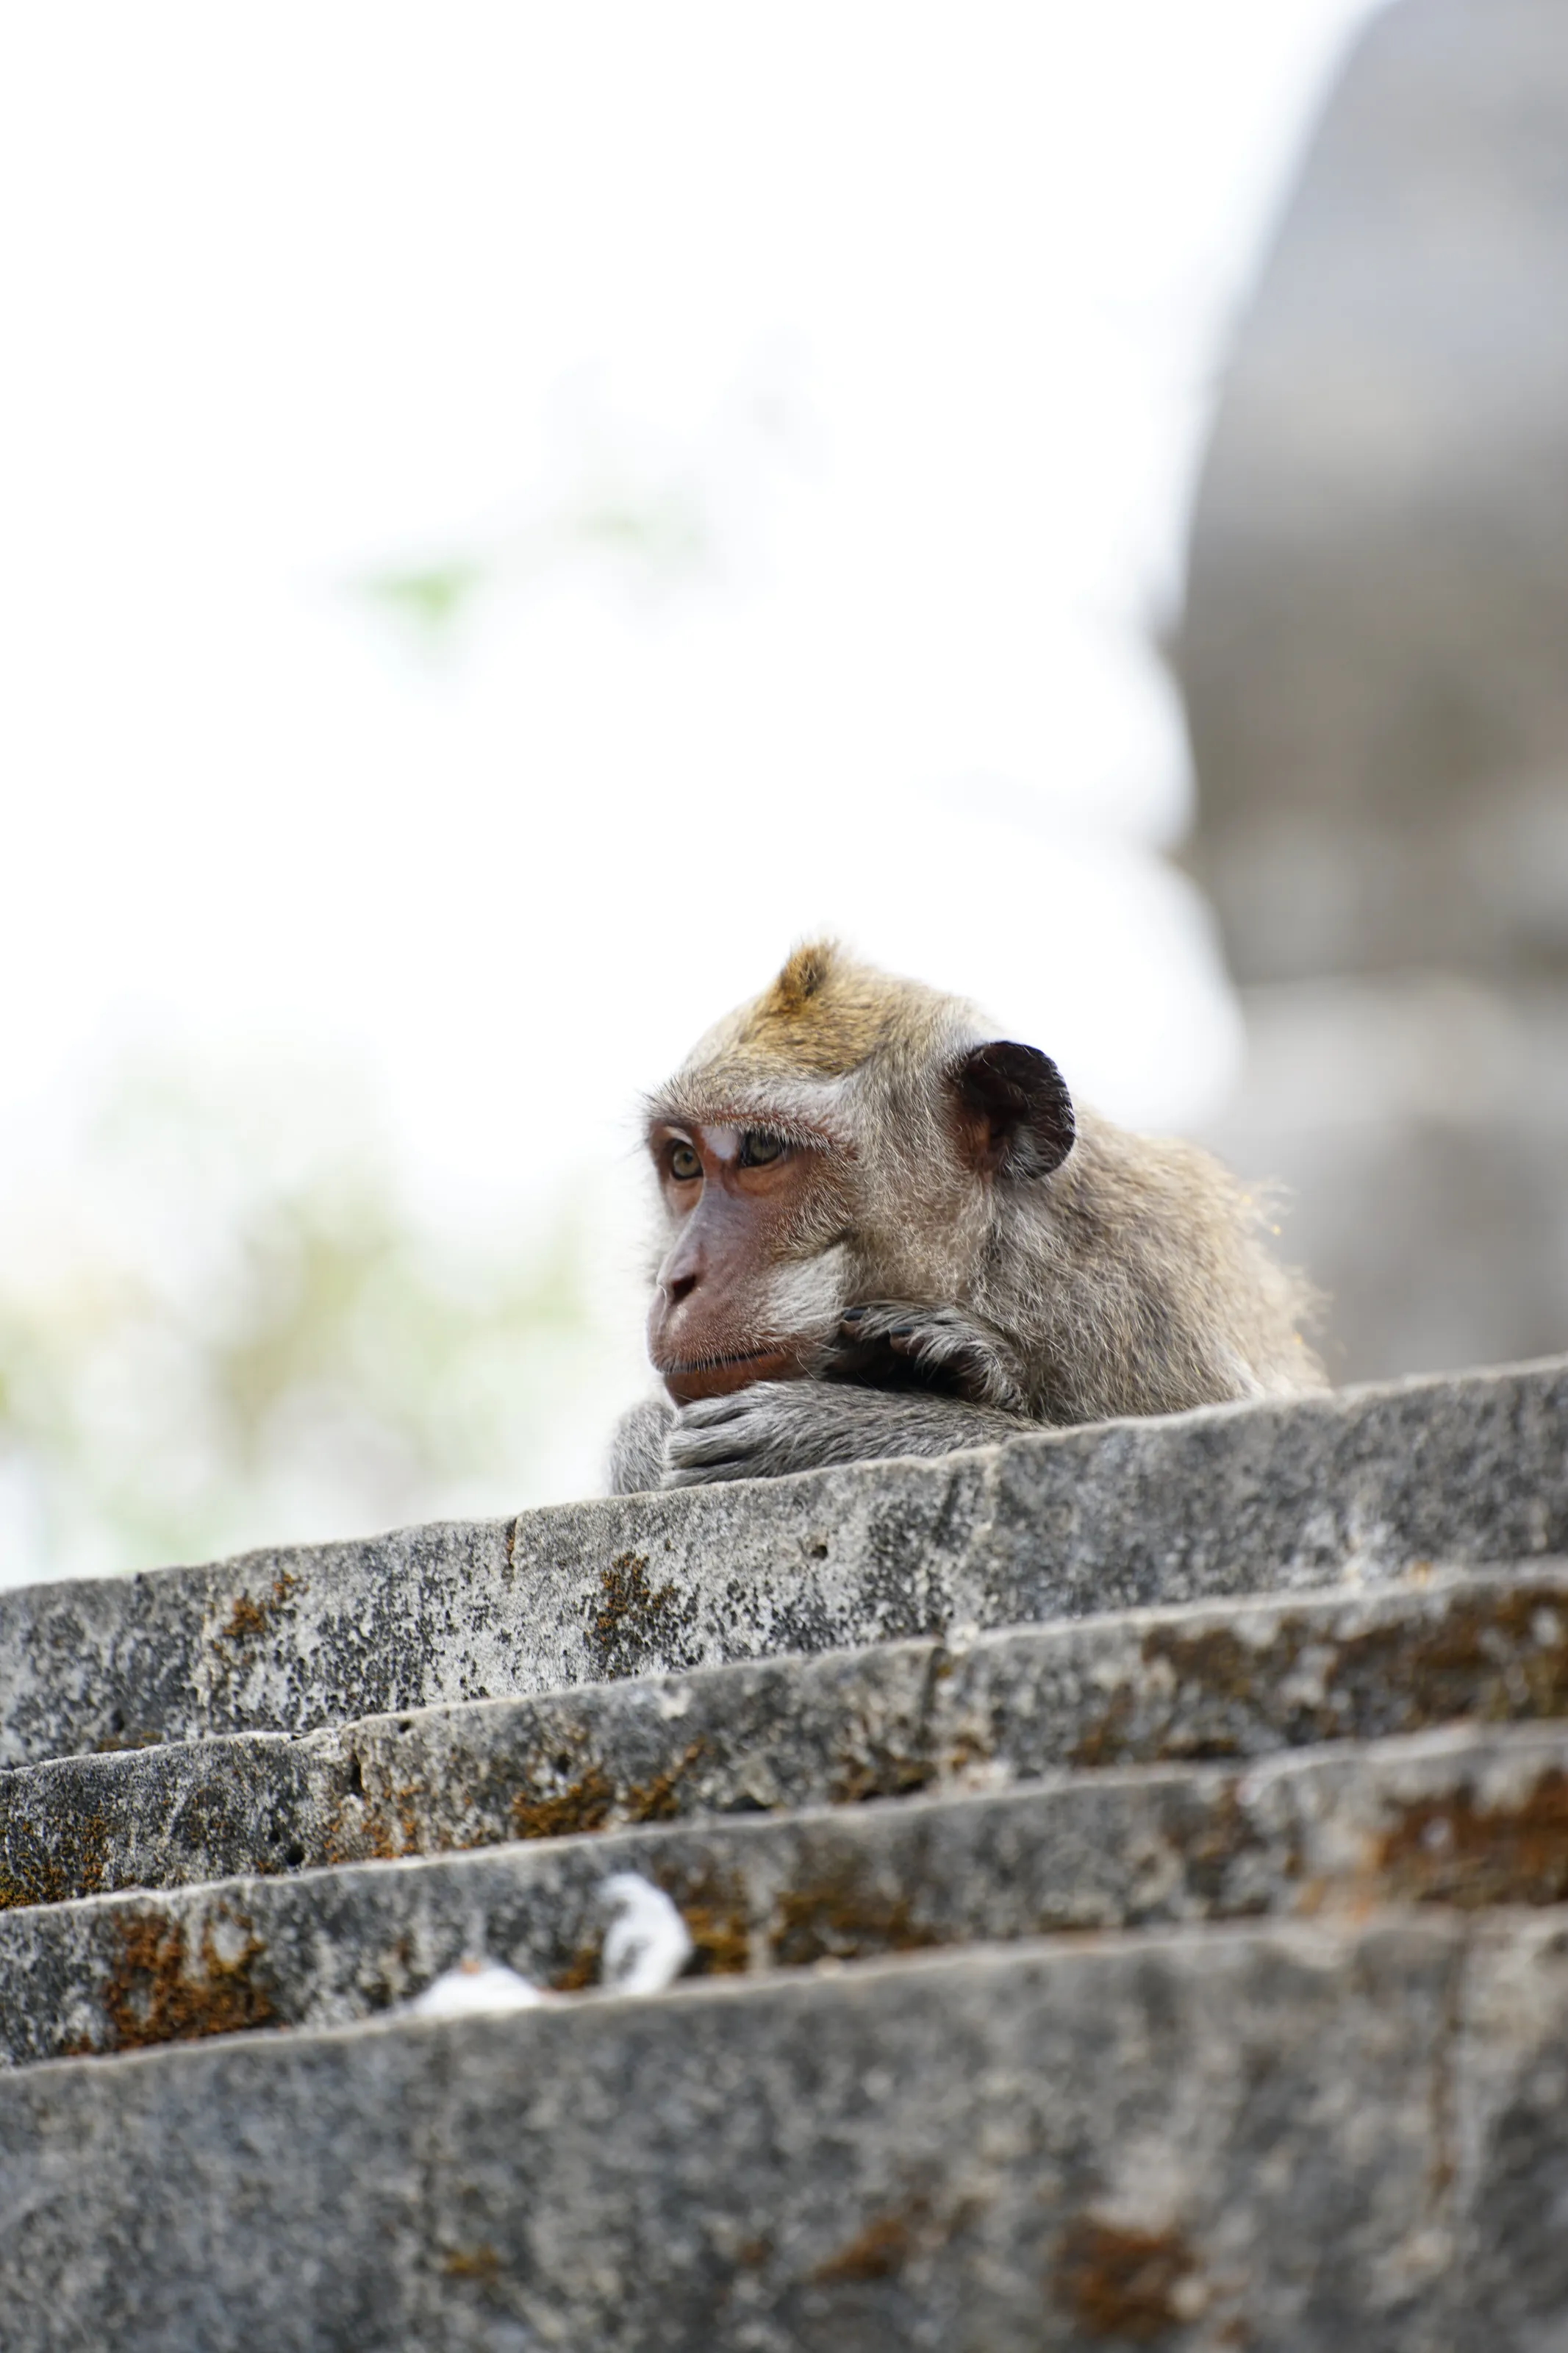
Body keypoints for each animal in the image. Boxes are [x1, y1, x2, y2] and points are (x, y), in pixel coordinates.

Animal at [608, 941, 1324, 1493]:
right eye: (684, 1162)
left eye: (760, 1150)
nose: (675, 1280)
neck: (998, 1266)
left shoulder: (1141, 1300)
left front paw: (833, 1428)